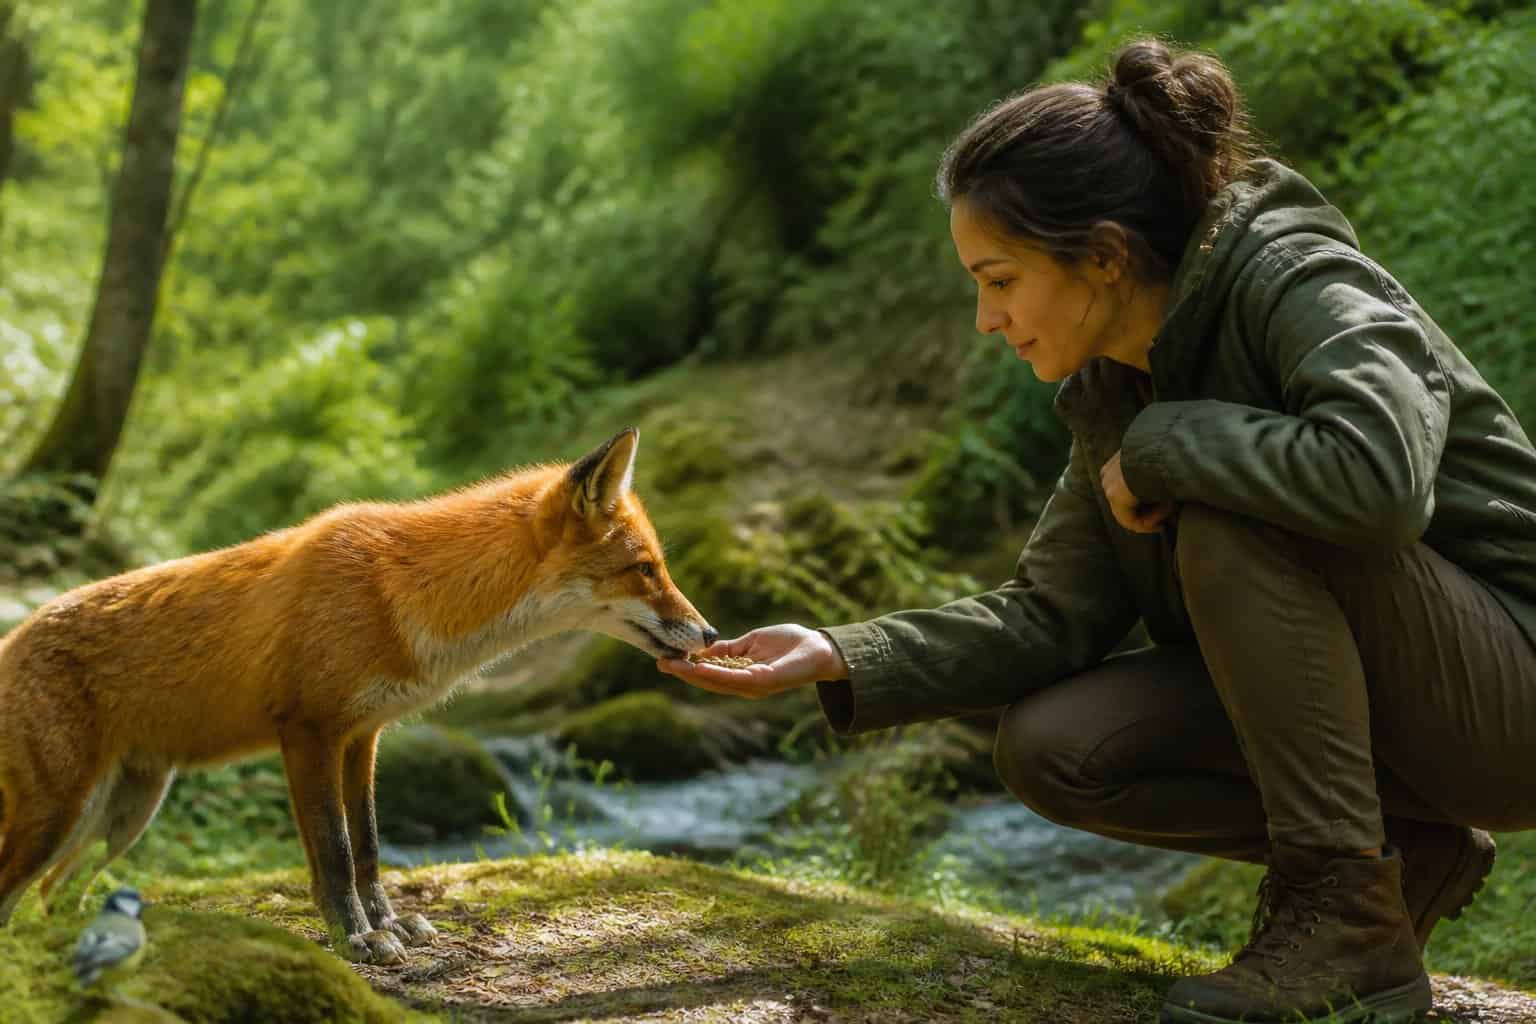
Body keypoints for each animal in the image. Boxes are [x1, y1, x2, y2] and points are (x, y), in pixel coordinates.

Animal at [0, 428, 715, 963]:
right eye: (645, 570)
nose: (709, 633)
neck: (401, 595)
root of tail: (13, 637)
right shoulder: (307, 731)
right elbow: (336, 854)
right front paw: (357, 938)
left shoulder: (362, 736)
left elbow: (368, 847)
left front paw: (390, 924)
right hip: (58, 816)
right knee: (18, 893)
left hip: (120, 816)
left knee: (51, 898)